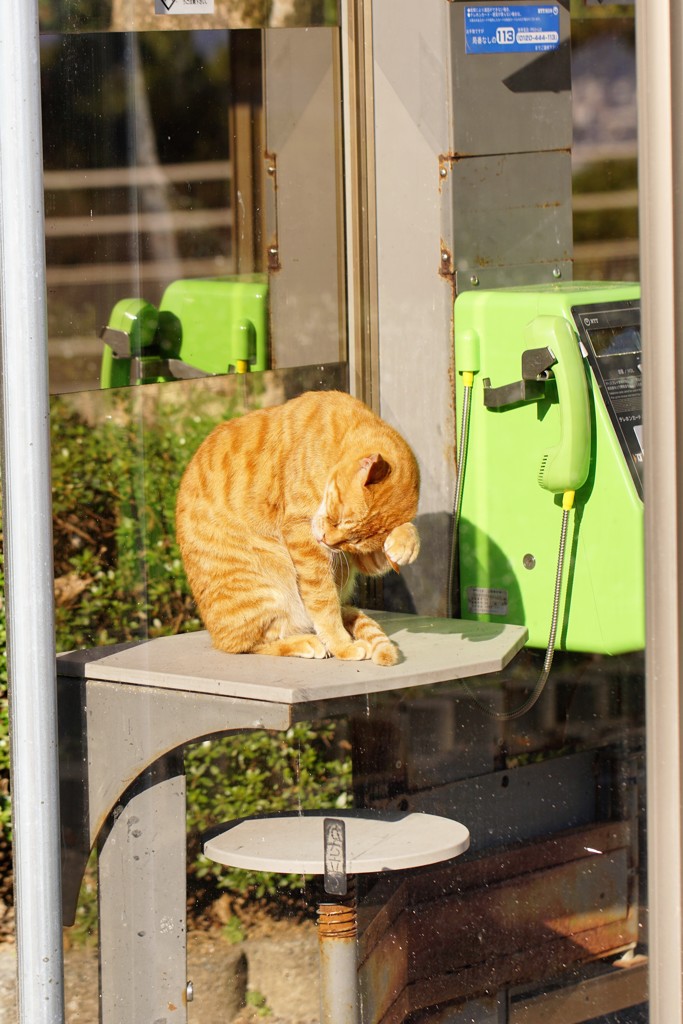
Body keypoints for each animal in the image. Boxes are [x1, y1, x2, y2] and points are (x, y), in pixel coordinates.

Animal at [176, 389, 419, 663]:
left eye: (352, 542)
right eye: (336, 518)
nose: (326, 541)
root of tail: (213, 635)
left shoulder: (354, 557)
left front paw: (405, 544)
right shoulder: (303, 537)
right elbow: (324, 604)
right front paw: (342, 645)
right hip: (265, 589)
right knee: (247, 644)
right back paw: (306, 642)